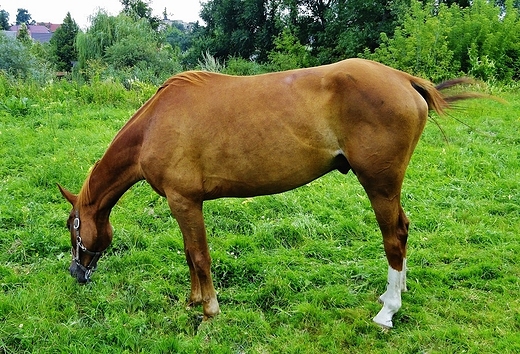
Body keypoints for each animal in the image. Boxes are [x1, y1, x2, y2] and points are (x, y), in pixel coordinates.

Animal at [58, 56, 476, 328]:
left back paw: (388, 310)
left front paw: (209, 310)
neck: (154, 125)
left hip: (380, 185)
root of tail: (404, 79)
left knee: (394, 236)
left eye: (72, 225)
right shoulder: (184, 204)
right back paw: (397, 293)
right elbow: (190, 255)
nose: (77, 272)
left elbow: (199, 255)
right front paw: (193, 301)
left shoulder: (185, 201)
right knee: (403, 233)